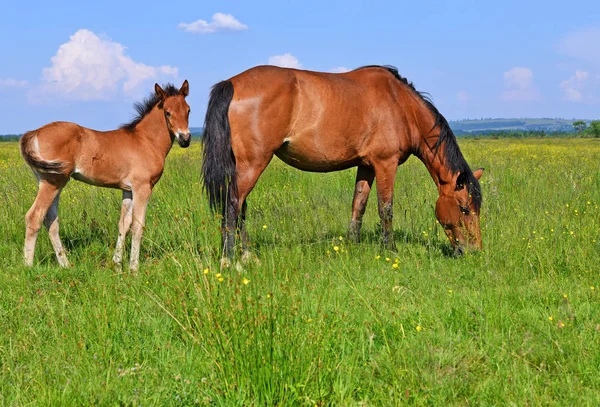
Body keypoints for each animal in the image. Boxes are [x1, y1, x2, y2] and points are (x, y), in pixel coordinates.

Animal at [21, 79, 191, 270]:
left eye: (188, 110)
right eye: (168, 113)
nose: (185, 139)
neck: (145, 141)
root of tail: (34, 133)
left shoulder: (128, 189)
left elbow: (124, 224)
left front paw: (117, 264)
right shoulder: (142, 187)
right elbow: (137, 226)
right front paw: (134, 268)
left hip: (52, 182)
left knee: (51, 220)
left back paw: (65, 264)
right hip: (53, 182)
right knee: (34, 217)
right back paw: (28, 266)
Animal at [204, 64, 486, 262]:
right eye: (464, 209)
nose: (474, 250)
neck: (401, 105)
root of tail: (232, 83)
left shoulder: (366, 165)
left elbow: (358, 205)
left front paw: (352, 244)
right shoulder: (385, 164)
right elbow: (386, 208)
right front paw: (391, 249)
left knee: (240, 207)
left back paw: (247, 255)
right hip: (253, 163)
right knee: (233, 203)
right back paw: (230, 259)